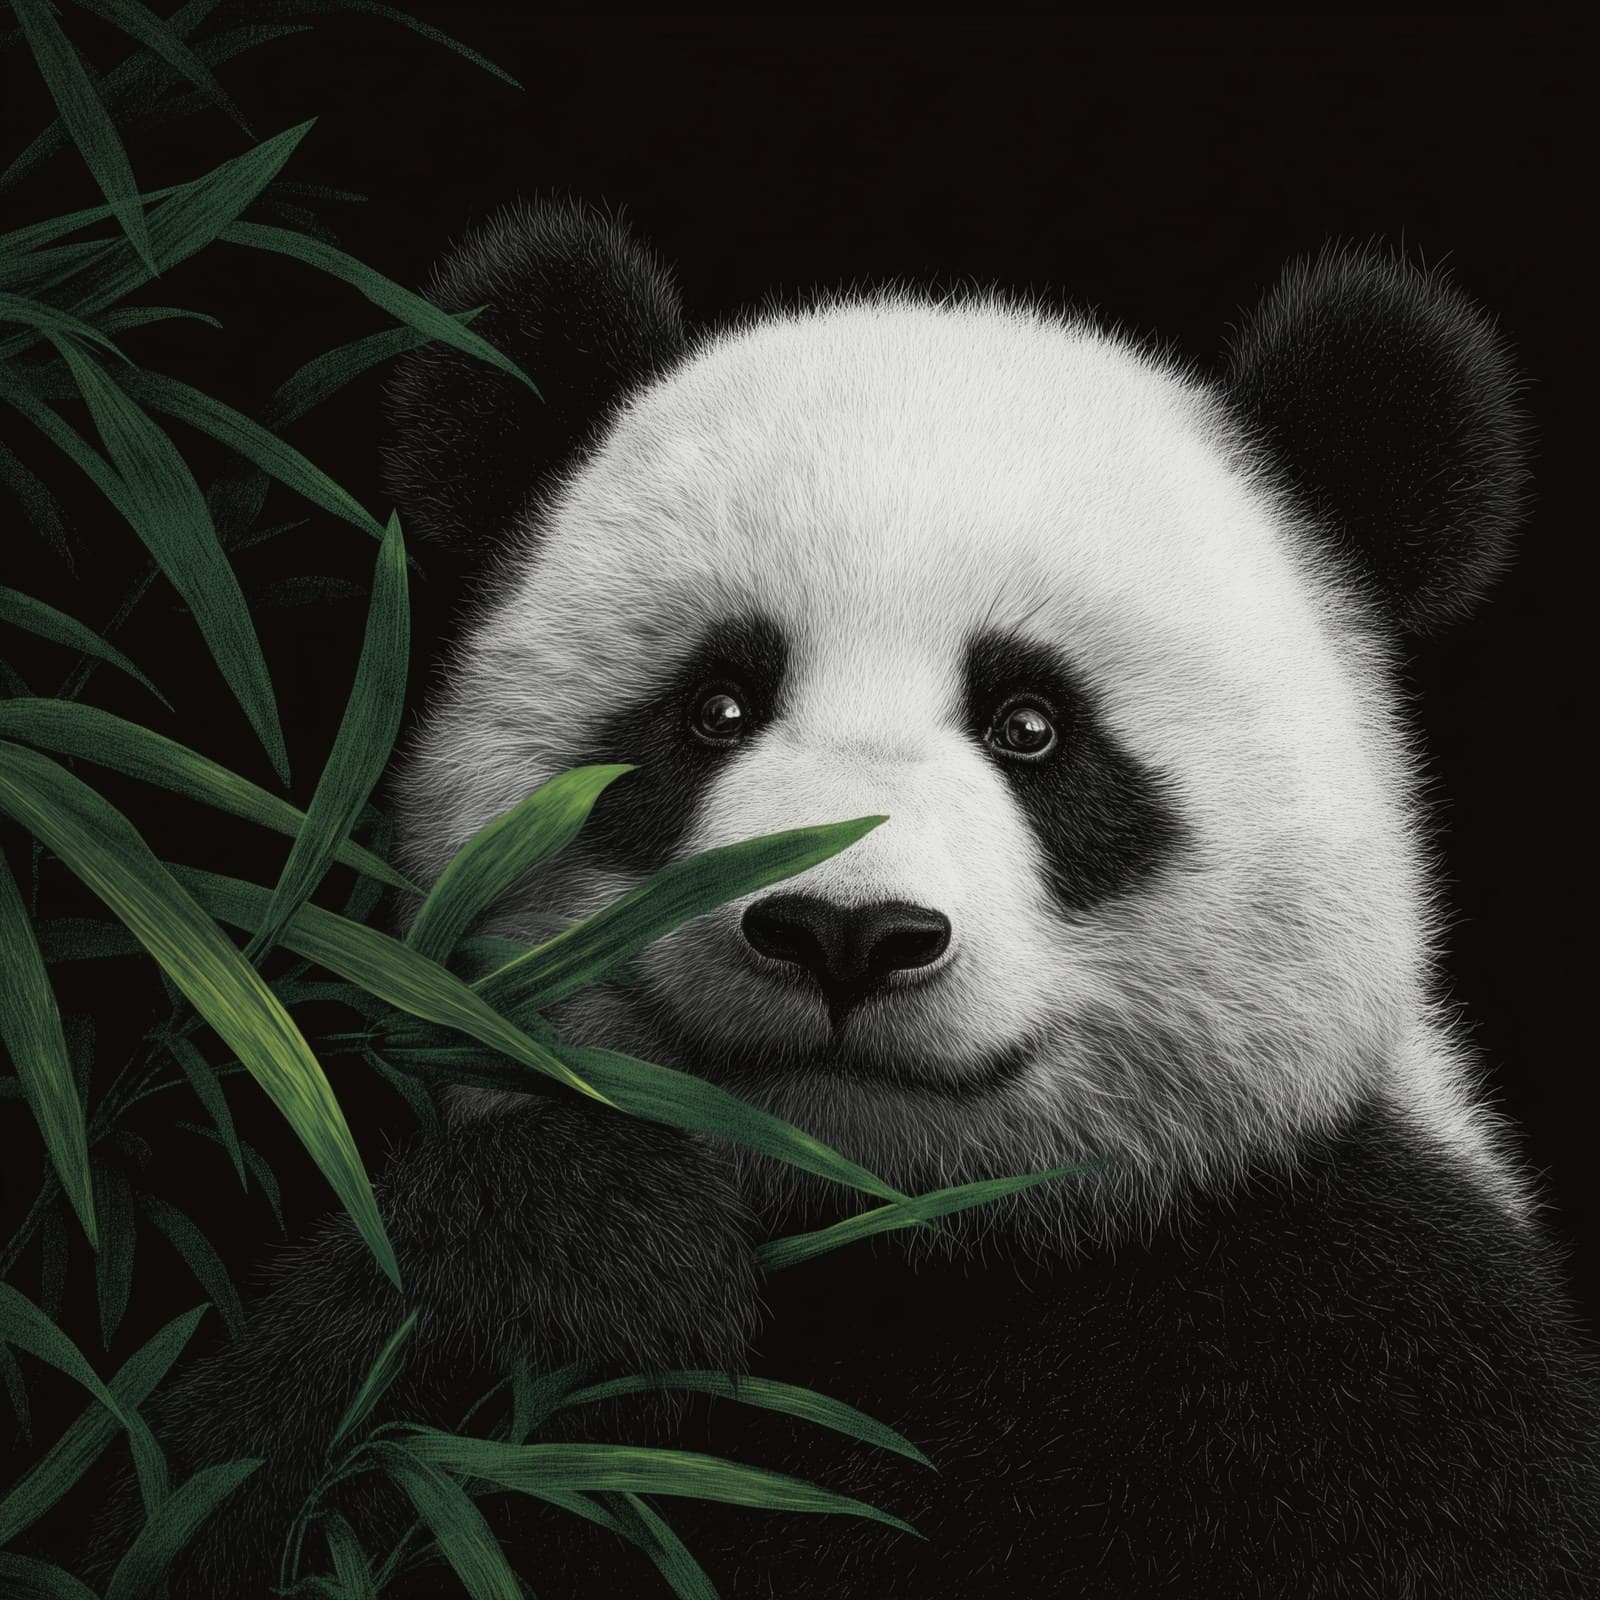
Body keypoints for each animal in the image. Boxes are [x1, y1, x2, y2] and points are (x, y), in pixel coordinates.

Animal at [110, 202, 1600, 1598]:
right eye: (716, 706)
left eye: (1032, 727)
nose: (844, 933)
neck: (885, 1240)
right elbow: (252, 1479)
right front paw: (585, 1265)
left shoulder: (1356, 1328)